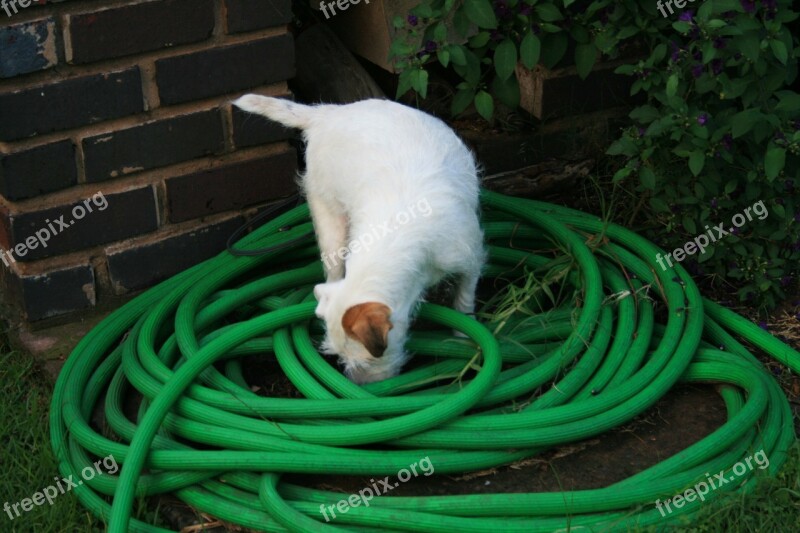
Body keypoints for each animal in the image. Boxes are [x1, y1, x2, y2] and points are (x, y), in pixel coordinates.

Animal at [230, 93, 482, 380]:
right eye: (340, 358)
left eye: (367, 361)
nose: (355, 387)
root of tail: (327, 113)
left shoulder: (469, 259)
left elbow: (464, 300)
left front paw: (463, 338)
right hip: (329, 219)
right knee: (332, 267)